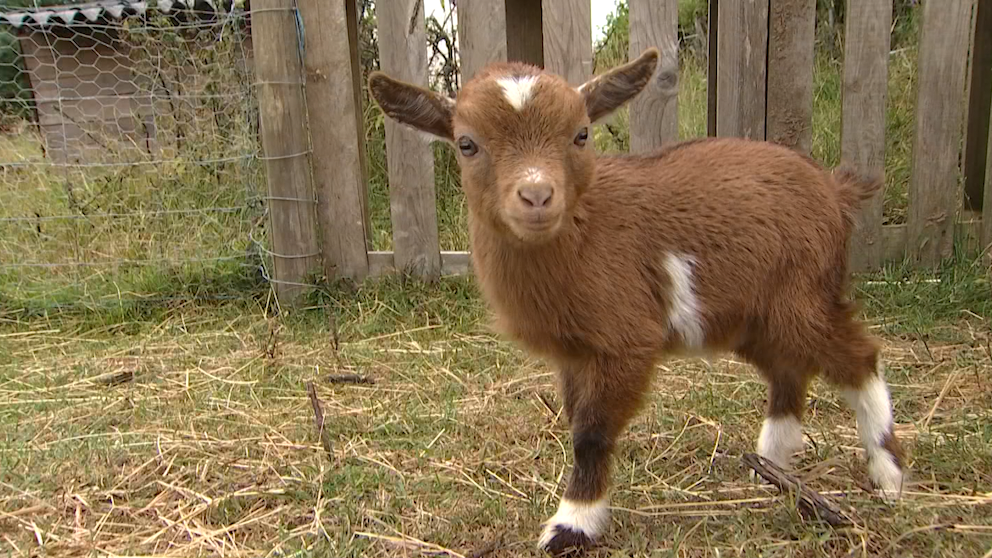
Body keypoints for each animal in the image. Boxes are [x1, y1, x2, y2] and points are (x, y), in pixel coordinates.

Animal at [368, 48, 904, 556]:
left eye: (581, 134)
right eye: (467, 143)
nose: (537, 196)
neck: (586, 230)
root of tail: (835, 190)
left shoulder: (626, 340)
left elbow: (591, 434)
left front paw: (572, 526)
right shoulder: (574, 354)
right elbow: (576, 422)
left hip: (802, 296)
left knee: (859, 357)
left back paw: (888, 473)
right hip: (756, 316)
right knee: (789, 371)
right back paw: (768, 466)